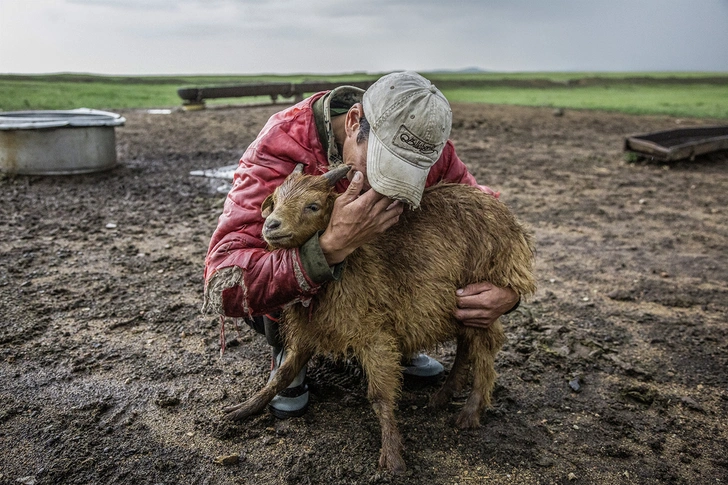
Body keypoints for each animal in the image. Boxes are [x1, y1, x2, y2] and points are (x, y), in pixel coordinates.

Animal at [225, 164, 536, 472]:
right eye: (275, 201)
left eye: (312, 206)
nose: (271, 225)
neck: (345, 266)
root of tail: (511, 221)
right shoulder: (309, 331)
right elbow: (281, 375)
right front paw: (244, 408)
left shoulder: (373, 334)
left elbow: (380, 396)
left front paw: (392, 456)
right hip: (461, 306)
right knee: (465, 345)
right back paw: (443, 395)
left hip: (483, 294)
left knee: (483, 353)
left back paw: (470, 413)